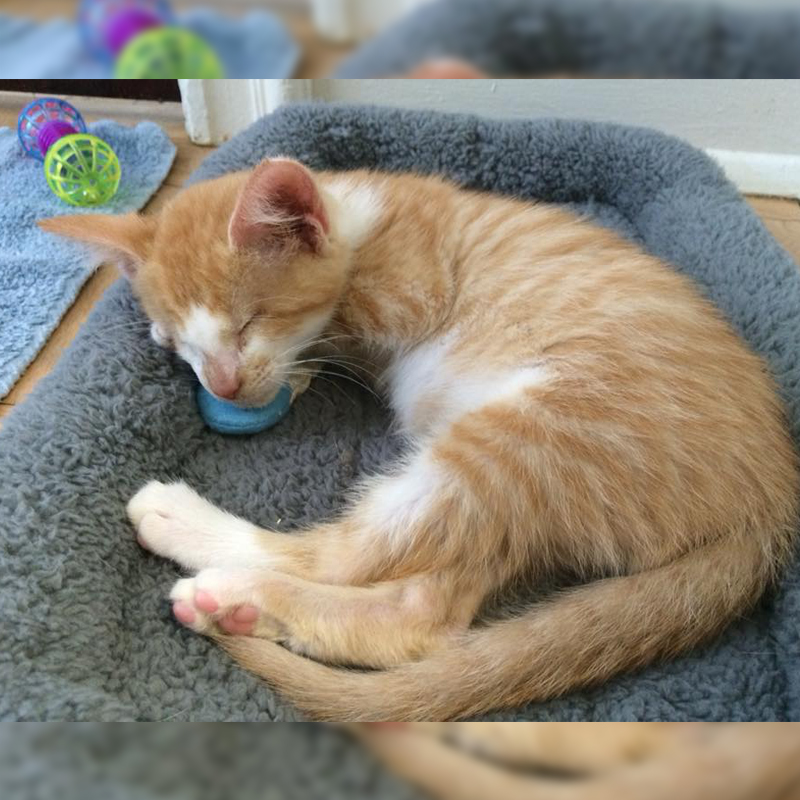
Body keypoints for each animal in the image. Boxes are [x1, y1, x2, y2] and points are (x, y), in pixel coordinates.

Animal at [40, 155, 796, 720]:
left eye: (250, 320)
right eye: (185, 346)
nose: (223, 386)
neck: (363, 214)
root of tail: (769, 505)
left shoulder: (414, 288)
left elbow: (341, 319)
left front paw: (294, 363)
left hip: (528, 434)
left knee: (349, 561)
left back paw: (209, 559)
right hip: (531, 491)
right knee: (428, 613)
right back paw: (245, 609)